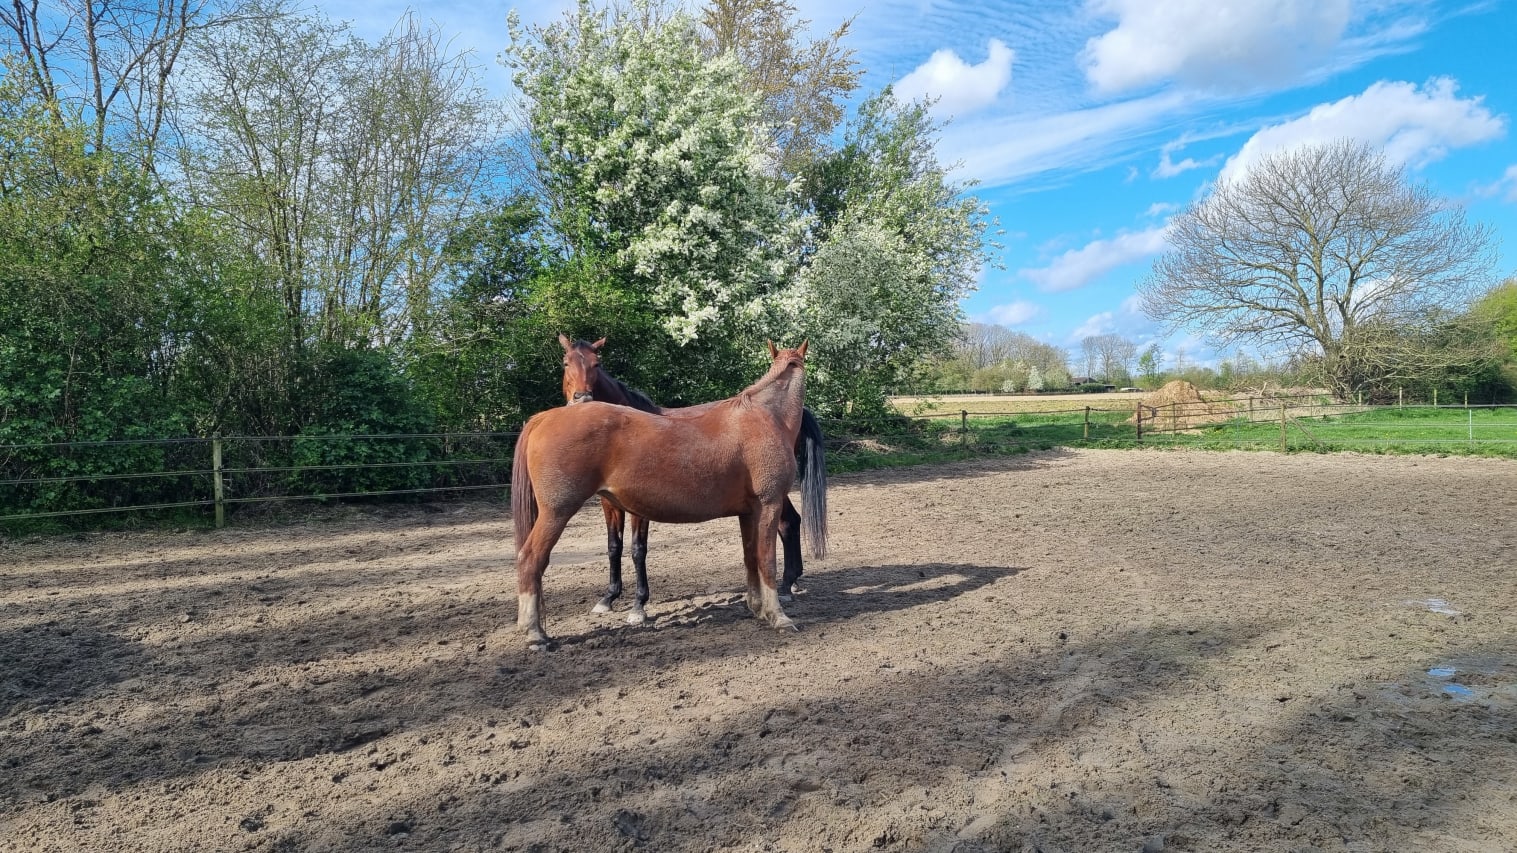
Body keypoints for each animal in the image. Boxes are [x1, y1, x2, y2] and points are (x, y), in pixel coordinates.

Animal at [512, 342, 825, 648]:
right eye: (566, 363)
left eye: (595, 364)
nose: (581, 396)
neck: (766, 416)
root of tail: (545, 417)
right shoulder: (767, 506)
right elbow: (766, 561)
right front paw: (778, 617)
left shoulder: (749, 513)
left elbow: (751, 559)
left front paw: (758, 608)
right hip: (556, 512)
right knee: (530, 559)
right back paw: (535, 634)